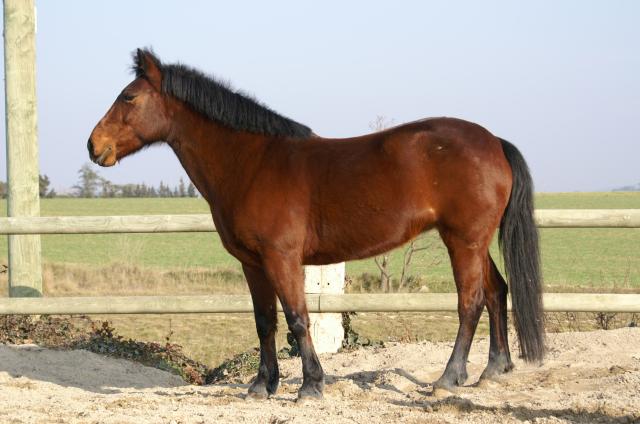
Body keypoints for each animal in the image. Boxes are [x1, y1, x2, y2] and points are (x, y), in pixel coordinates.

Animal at [87, 48, 544, 400]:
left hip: (463, 241)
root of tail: (494, 142)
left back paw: (449, 378)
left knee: (471, 302)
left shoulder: (282, 258)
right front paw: (261, 386)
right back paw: (493, 370)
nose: (94, 146)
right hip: (473, 241)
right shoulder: (252, 263)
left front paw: (310, 386)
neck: (251, 163)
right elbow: (265, 322)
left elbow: (296, 318)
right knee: (496, 291)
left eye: (128, 97)